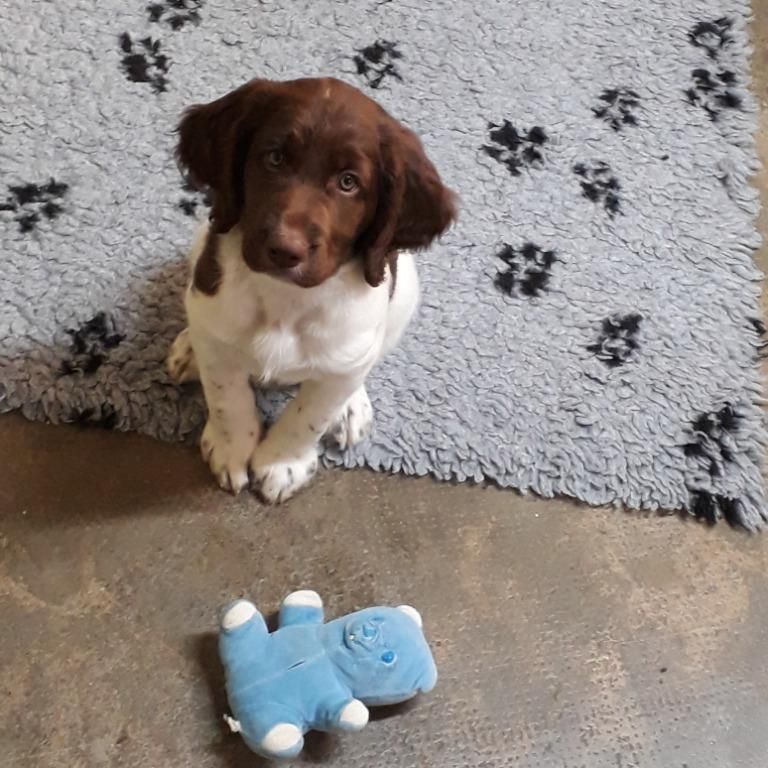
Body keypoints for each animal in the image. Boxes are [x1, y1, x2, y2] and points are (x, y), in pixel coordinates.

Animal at [167, 77, 456, 503]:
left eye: (349, 182)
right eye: (274, 158)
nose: (285, 250)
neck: (287, 300)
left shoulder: (342, 361)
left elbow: (309, 417)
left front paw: (281, 465)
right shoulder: (215, 322)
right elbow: (226, 397)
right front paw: (230, 447)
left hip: (404, 296)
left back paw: (351, 409)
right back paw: (189, 349)